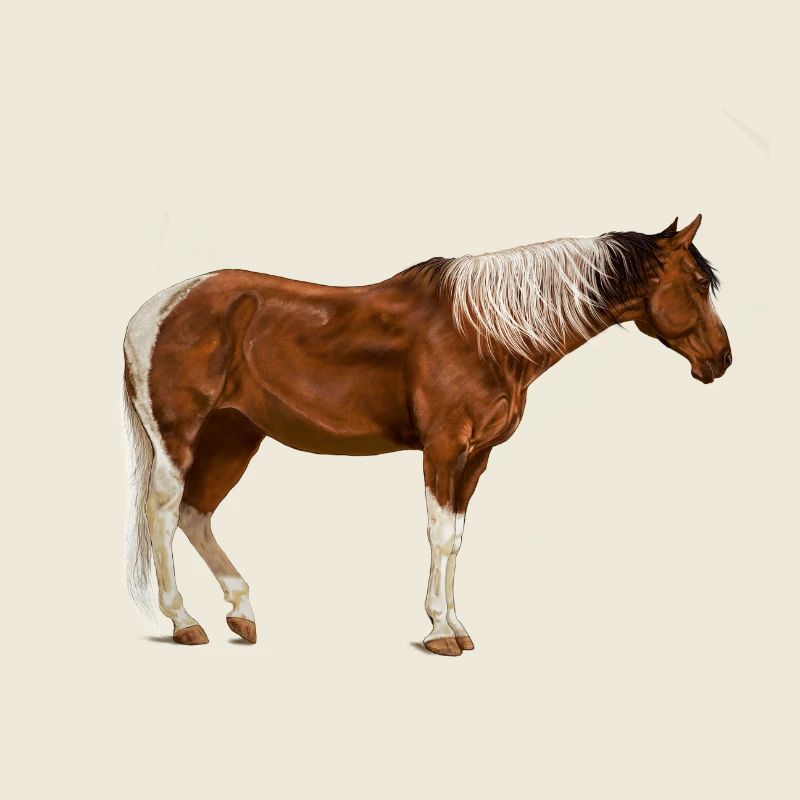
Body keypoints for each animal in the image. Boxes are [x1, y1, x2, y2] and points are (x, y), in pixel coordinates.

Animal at [123, 214, 731, 655]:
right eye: (700, 283)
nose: (722, 360)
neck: (485, 332)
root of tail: (151, 311)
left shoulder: (476, 458)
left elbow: (457, 538)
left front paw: (457, 625)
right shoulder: (443, 450)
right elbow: (440, 536)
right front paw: (440, 633)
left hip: (236, 436)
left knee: (197, 514)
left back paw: (242, 612)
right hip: (181, 437)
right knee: (165, 512)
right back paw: (184, 621)